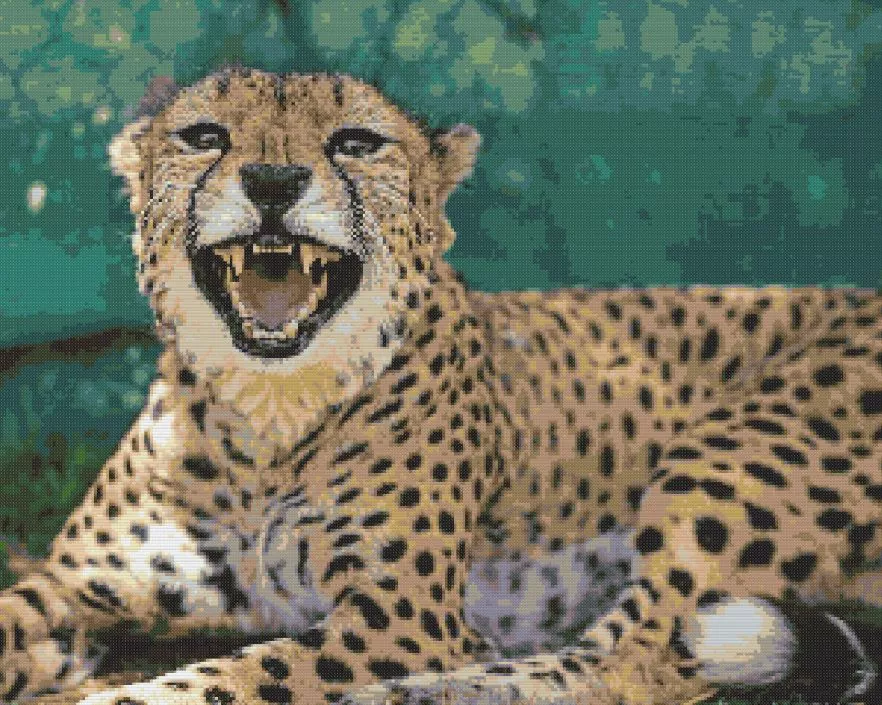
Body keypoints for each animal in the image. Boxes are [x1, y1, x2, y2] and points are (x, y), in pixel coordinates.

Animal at [2, 67, 882, 705]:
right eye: (205, 135)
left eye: (356, 141)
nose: (274, 180)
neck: (269, 416)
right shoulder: (74, 585)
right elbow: (15, 613)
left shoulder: (399, 619)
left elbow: (235, 676)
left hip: (729, 452)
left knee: (635, 657)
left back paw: (428, 692)